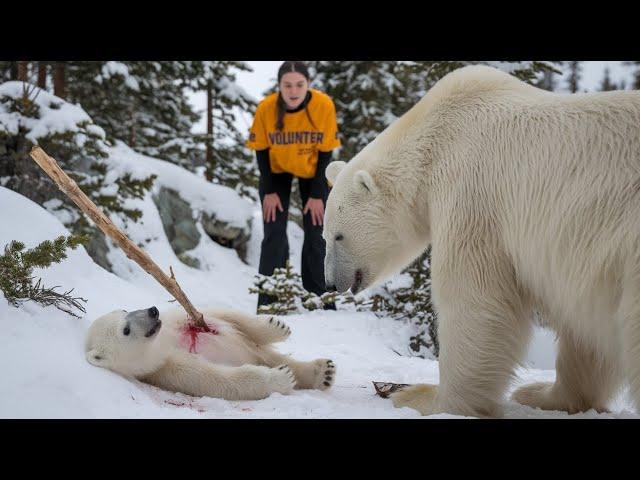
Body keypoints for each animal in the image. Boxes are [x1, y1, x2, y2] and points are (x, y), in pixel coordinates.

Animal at [324, 63, 640, 416]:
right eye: (324, 234)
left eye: (338, 235)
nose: (330, 282)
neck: (435, 135)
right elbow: (584, 330)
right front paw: (543, 394)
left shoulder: (470, 191)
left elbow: (473, 297)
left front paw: (425, 397)